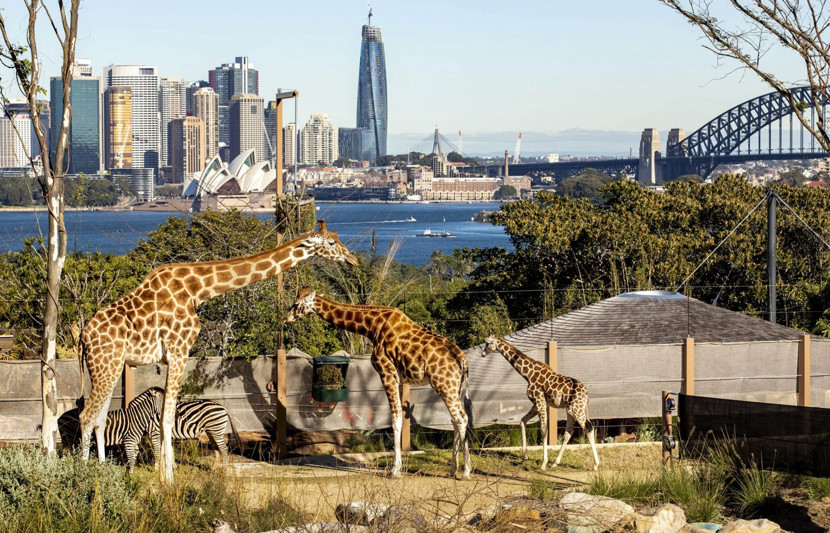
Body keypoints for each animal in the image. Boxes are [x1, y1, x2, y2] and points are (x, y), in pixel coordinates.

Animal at [77, 221, 358, 483]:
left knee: (99, 418)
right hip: (106, 365)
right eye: (331, 243)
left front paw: (165, 474)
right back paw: (83, 478)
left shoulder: (173, 355)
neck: (197, 290)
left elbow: (163, 416)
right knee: (86, 415)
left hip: (110, 367)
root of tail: (83, 336)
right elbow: (166, 418)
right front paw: (168, 480)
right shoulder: (179, 350)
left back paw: (100, 471)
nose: (352, 259)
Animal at [286, 289, 473, 479]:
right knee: (455, 419)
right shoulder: (399, 378)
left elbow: (395, 419)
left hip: (444, 385)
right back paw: (452, 470)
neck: (372, 326)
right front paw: (398, 468)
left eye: (296, 304)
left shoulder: (386, 372)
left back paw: (466, 472)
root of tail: (463, 361)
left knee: (461, 417)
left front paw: (395, 471)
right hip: (453, 387)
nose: (287, 319)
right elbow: (399, 416)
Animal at [481, 336, 599, 471]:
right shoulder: (538, 403)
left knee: (588, 428)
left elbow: (543, 431)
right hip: (571, 410)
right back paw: (555, 462)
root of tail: (587, 395)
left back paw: (596, 465)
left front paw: (543, 463)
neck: (527, 374)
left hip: (576, 409)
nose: (482, 354)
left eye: (487, 343)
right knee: (569, 432)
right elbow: (523, 421)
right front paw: (524, 456)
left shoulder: (539, 401)